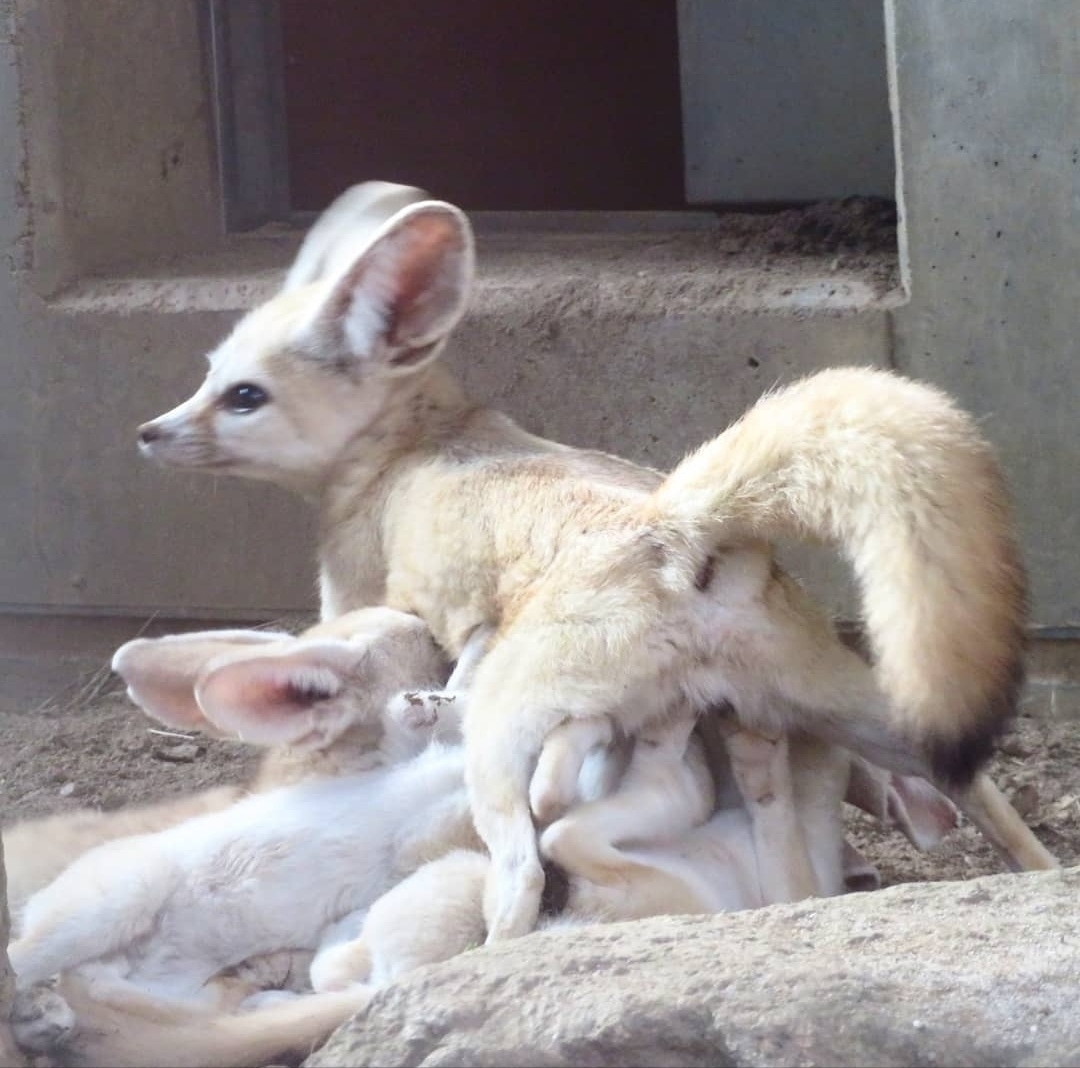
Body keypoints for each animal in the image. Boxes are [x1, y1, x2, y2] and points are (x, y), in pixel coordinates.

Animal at [135, 183, 1054, 941]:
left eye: (242, 397)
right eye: (208, 376)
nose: (148, 433)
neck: (418, 440)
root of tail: (678, 525)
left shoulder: (361, 595)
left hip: (502, 731)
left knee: (518, 865)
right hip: (857, 704)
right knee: (981, 790)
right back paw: (1040, 877)